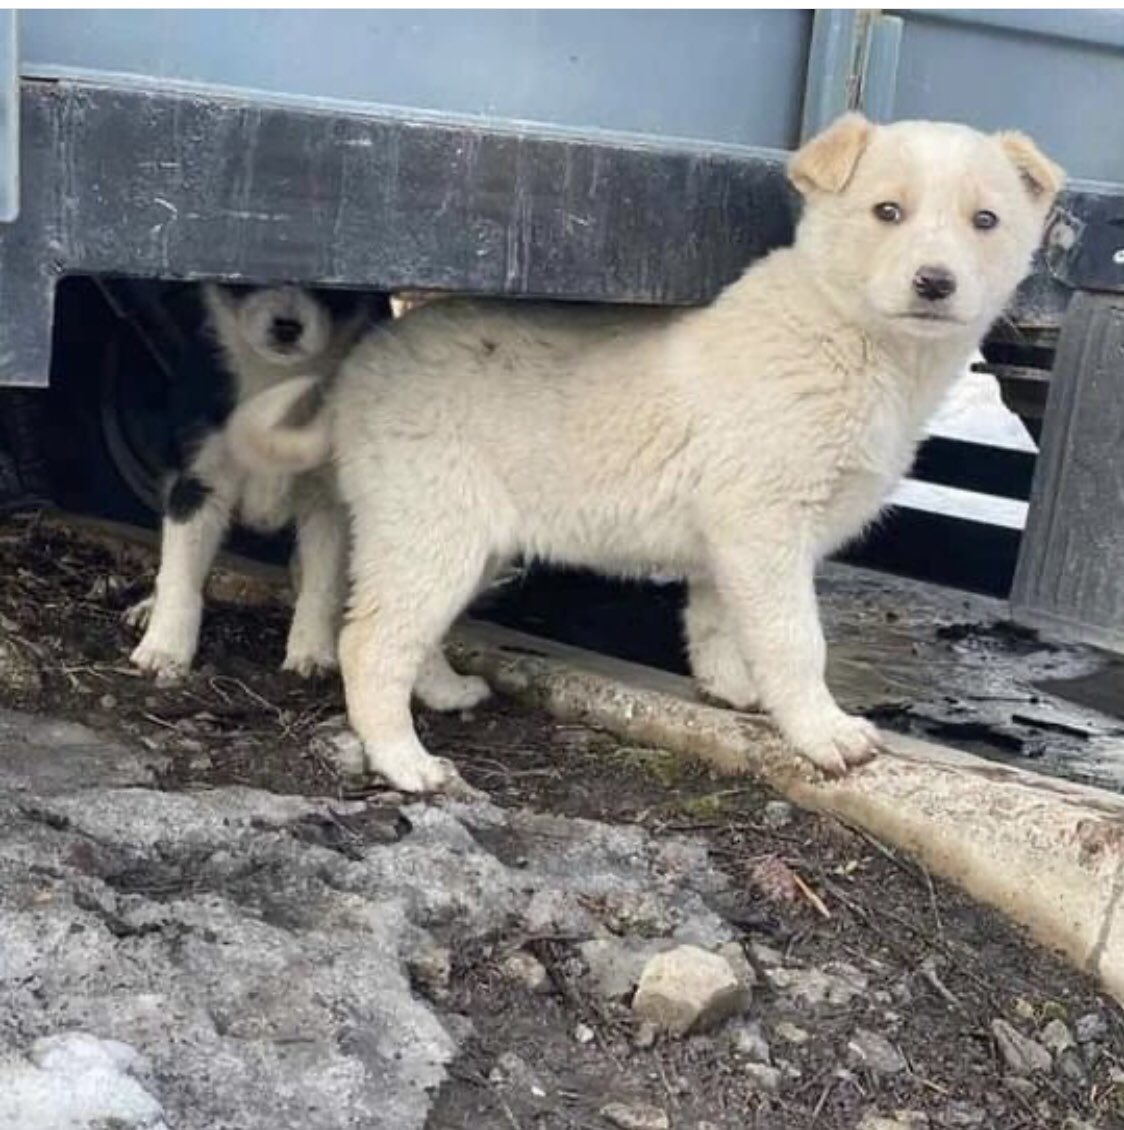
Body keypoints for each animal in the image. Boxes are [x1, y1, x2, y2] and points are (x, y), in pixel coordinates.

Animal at [128, 282, 377, 678]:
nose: (287, 327)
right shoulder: (198, 480)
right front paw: (165, 648)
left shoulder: (328, 496)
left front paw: (312, 650)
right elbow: (181, 571)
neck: (276, 376)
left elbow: (322, 584)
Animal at [225, 112, 1061, 786]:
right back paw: (405, 764)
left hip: (466, 539)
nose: (935, 283)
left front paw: (733, 691)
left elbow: (720, 623)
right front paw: (823, 732)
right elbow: (796, 639)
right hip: (433, 525)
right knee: (370, 641)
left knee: (410, 630)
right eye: (887, 211)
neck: (855, 341)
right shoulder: (764, 526)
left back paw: (445, 692)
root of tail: (356, 371)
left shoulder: (732, 544)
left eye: (986, 220)